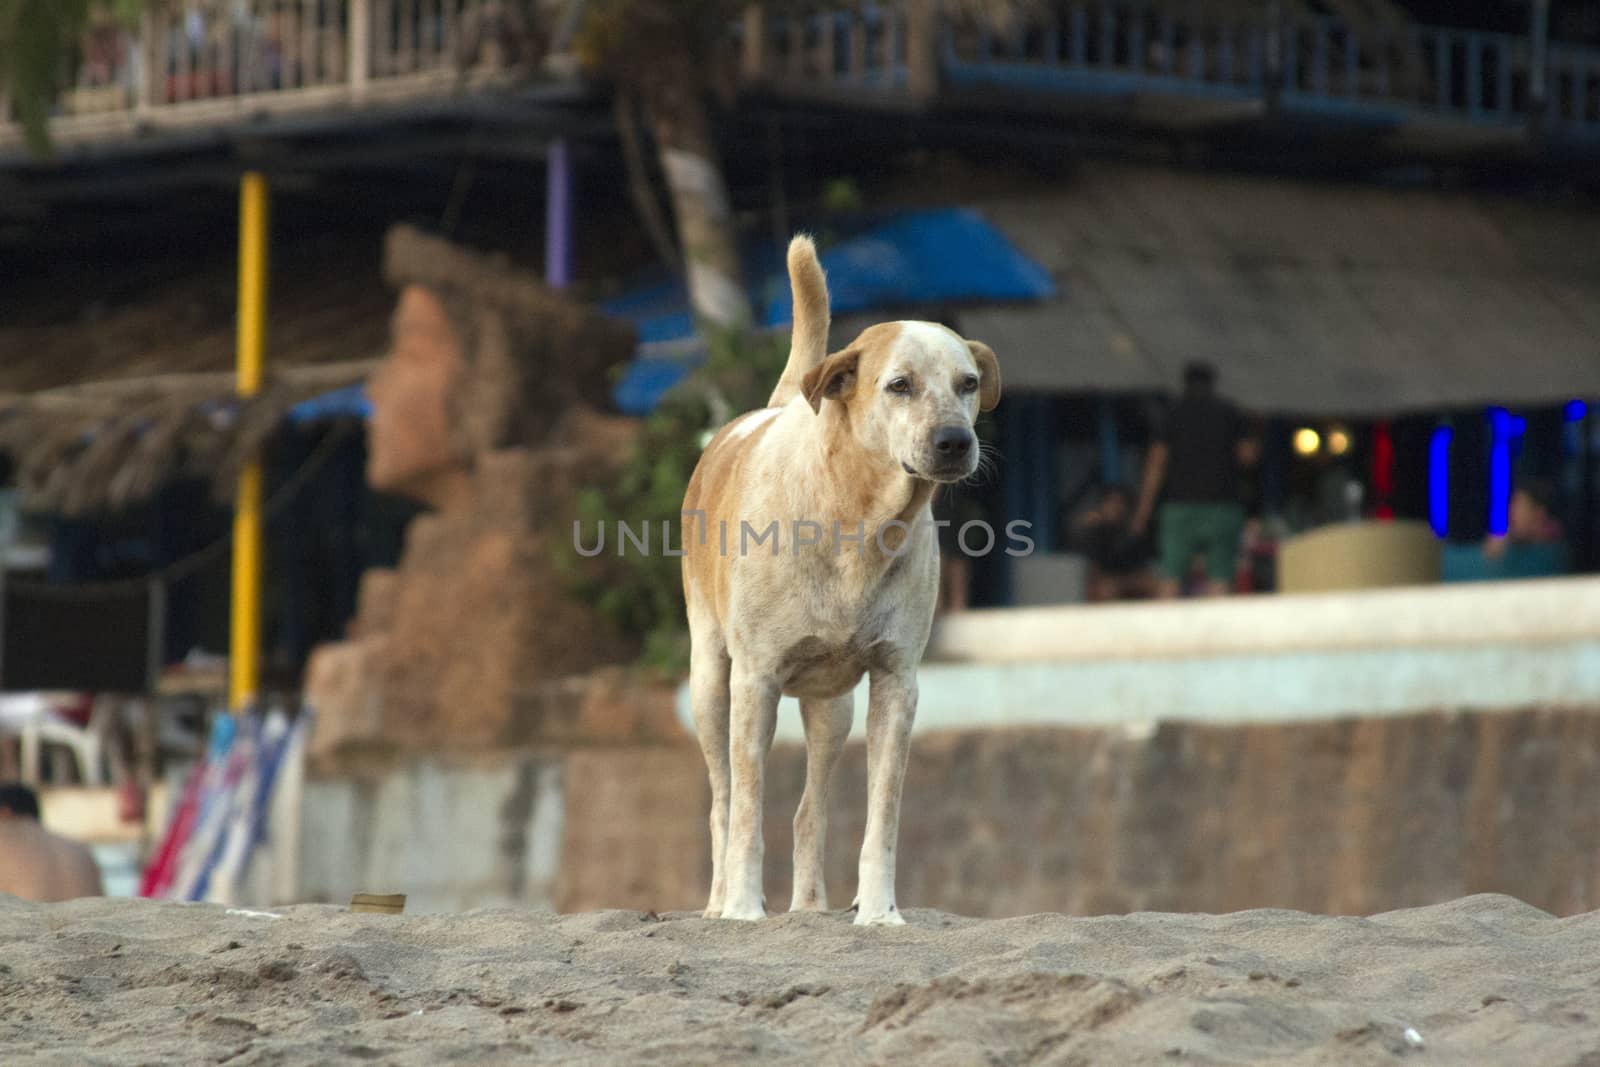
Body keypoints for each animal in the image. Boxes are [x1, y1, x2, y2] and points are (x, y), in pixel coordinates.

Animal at [681, 238, 1004, 921]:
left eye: (968, 384)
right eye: (899, 386)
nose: (955, 441)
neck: (858, 518)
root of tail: (772, 409)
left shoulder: (896, 684)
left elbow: (882, 818)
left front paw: (880, 913)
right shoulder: (755, 682)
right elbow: (748, 812)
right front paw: (745, 908)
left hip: (833, 709)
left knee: (810, 812)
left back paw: (808, 907)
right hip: (708, 682)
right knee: (723, 801)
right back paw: (720, 904)